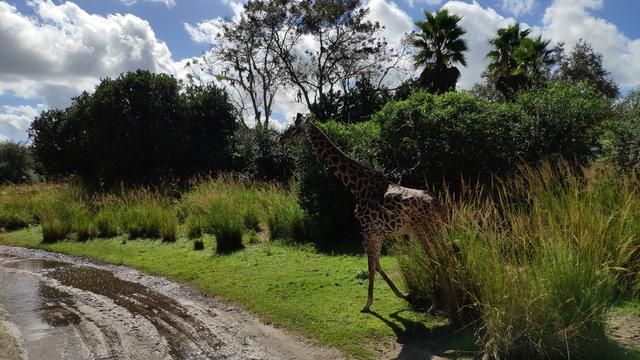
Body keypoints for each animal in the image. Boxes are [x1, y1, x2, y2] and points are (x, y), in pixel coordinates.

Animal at [282, 113, 442, 312]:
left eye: (294, 128)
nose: (281, 140)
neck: (357, 187)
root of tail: (437, 203)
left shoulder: (367, 228)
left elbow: (370, 265)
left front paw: (367, 304)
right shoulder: (378, 232)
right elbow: (377, 264)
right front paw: (404, 295)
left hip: (423, 230)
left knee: (434, 259)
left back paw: (434, 305)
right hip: (434, 229)